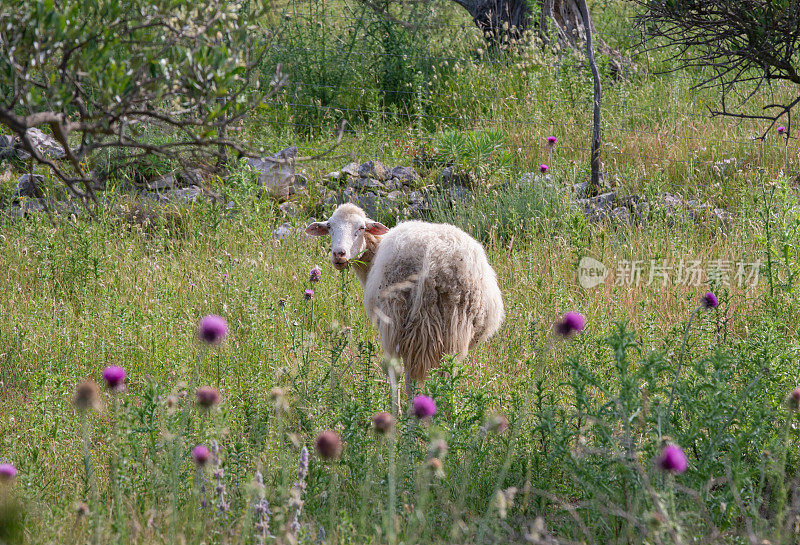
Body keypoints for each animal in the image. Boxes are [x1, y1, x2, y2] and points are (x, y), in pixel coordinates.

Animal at [306, 202, 506, 394]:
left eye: (361, 228)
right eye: (330, 226)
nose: (339, 254)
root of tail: (434, 258)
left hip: (397, 316)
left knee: (401, 373)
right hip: (453, 325)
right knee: (447, 376)